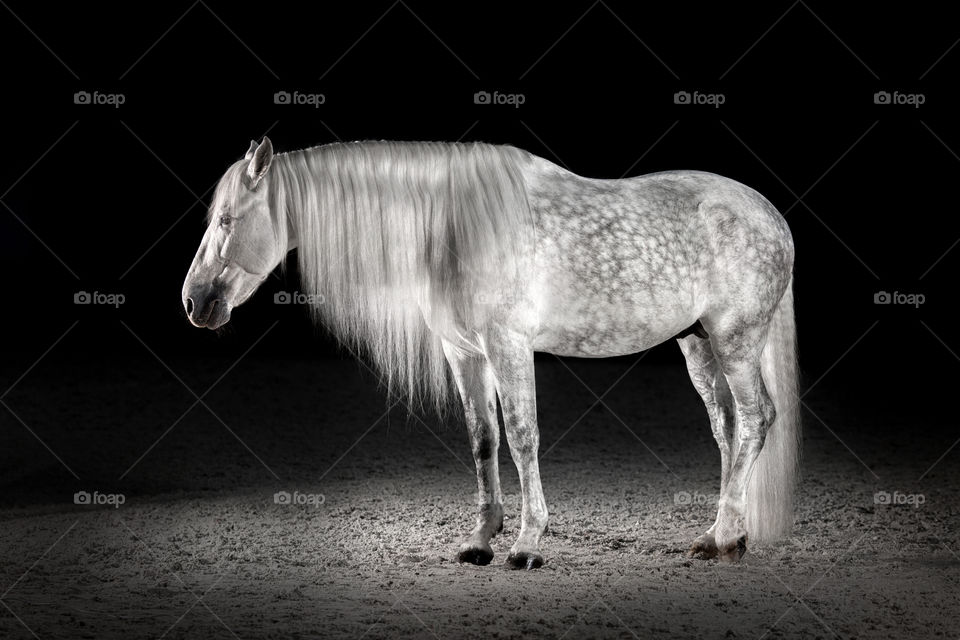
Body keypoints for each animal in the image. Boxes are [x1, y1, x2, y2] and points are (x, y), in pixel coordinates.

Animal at [180, 138, 796, 568]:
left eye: (228, 219)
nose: (193, 301)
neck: (455, 226)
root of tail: (770, 214)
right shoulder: (465, 353)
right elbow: (483, 440)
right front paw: (480, 540)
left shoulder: (508, 347)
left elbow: (523, 438)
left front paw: (526, 543)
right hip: (699, 343)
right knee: (727, 428)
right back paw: (724, 534)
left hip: (736, 340)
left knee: (756, 419)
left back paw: (724, 537)